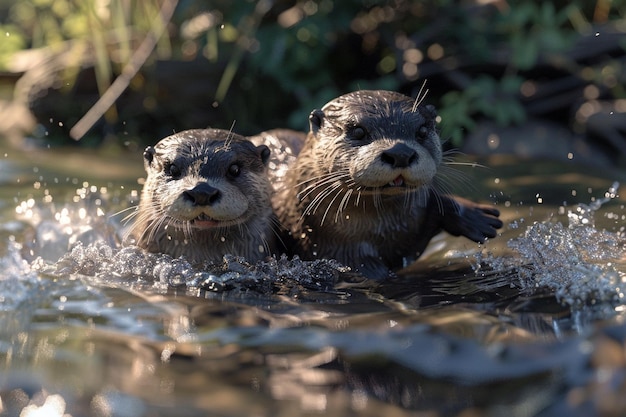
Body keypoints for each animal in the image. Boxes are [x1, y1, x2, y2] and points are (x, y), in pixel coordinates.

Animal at [276, 90, 500, 280]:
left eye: (422, 131)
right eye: (358, 131)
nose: (400, 152)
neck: (384, 230)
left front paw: (476, 216)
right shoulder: (331, 246)